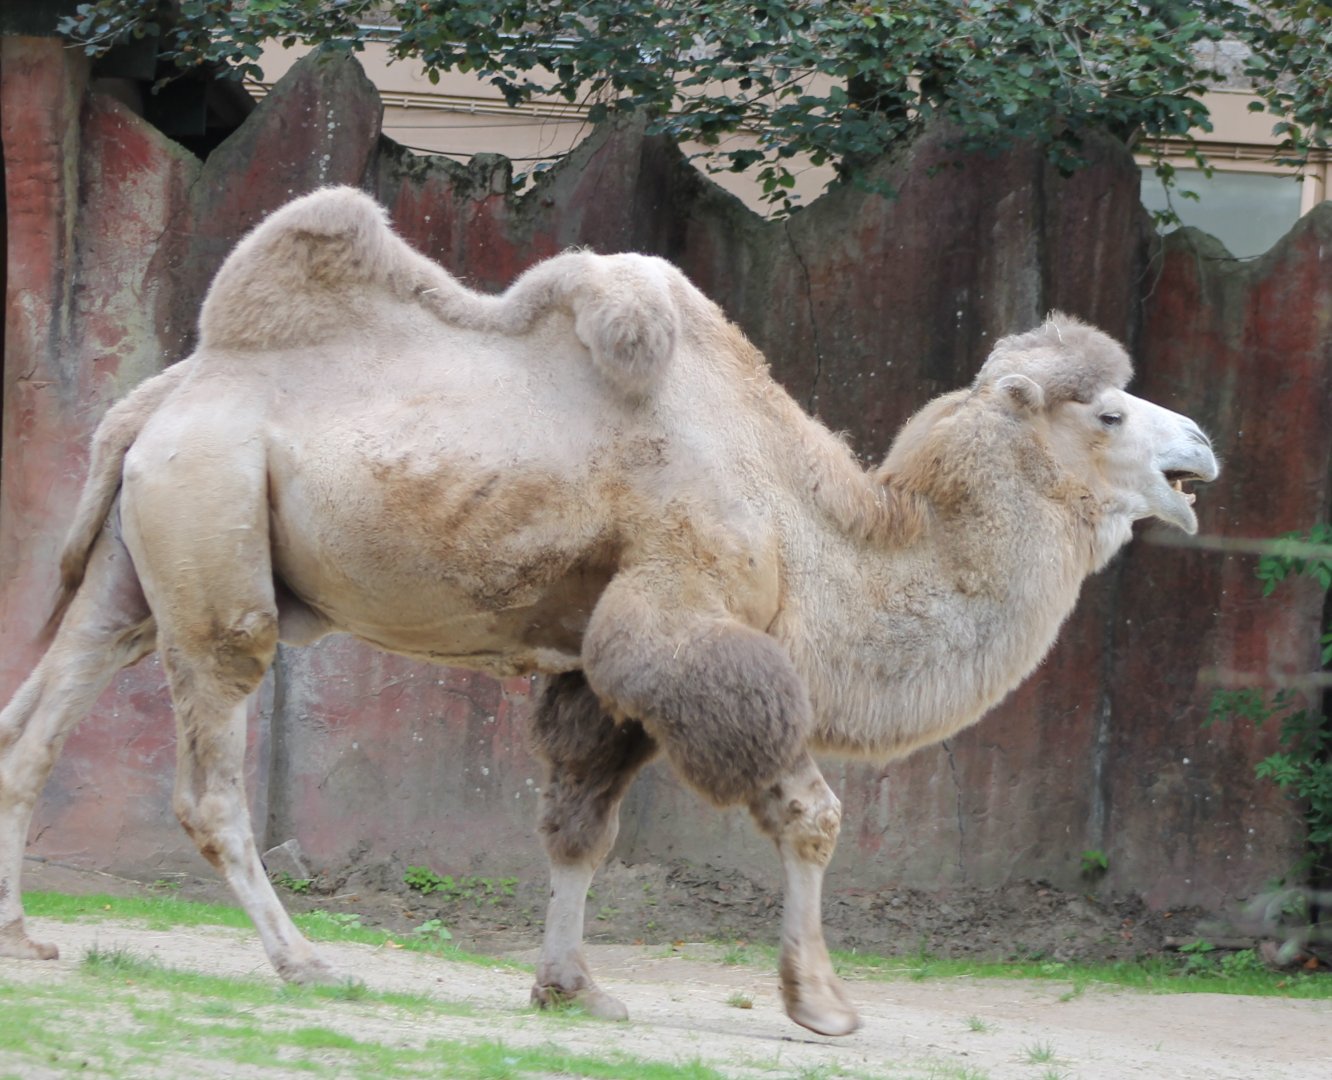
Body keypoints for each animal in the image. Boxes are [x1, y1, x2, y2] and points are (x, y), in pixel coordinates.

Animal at [0, 187, 1217, 1036]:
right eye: (1109, 413)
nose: (1203, 447)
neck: (806, 520)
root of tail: (162, 397)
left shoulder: (599, 669)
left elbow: (581, 825)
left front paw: (572, 988)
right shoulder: (689, 621)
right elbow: (809, 809)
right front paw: (823, 1003)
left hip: (136, 563)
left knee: (37, 723)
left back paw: (24, 940)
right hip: (213, 546)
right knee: (209, 772)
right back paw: (305, 962)